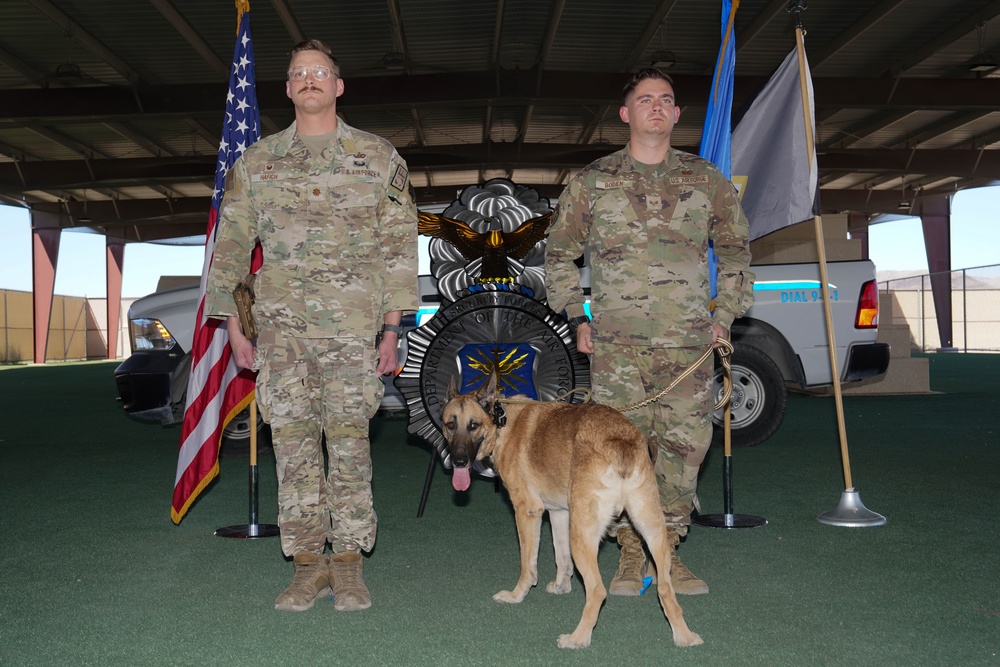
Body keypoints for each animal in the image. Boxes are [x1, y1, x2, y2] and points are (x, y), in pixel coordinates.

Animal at [438, 374, 704, 648]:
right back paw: (684, 636)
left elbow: (528, 564)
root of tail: (620, 442)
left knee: (597, 590)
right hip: (651, 529)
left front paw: (517, 595)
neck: (502, 422)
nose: (459, 461)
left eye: (473, 425)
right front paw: (561, 586)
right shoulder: (559, 513)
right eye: (450, 425)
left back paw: (578, 638)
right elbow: (561, 558)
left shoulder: (527, 512)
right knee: (665, 588)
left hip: (583, 536)